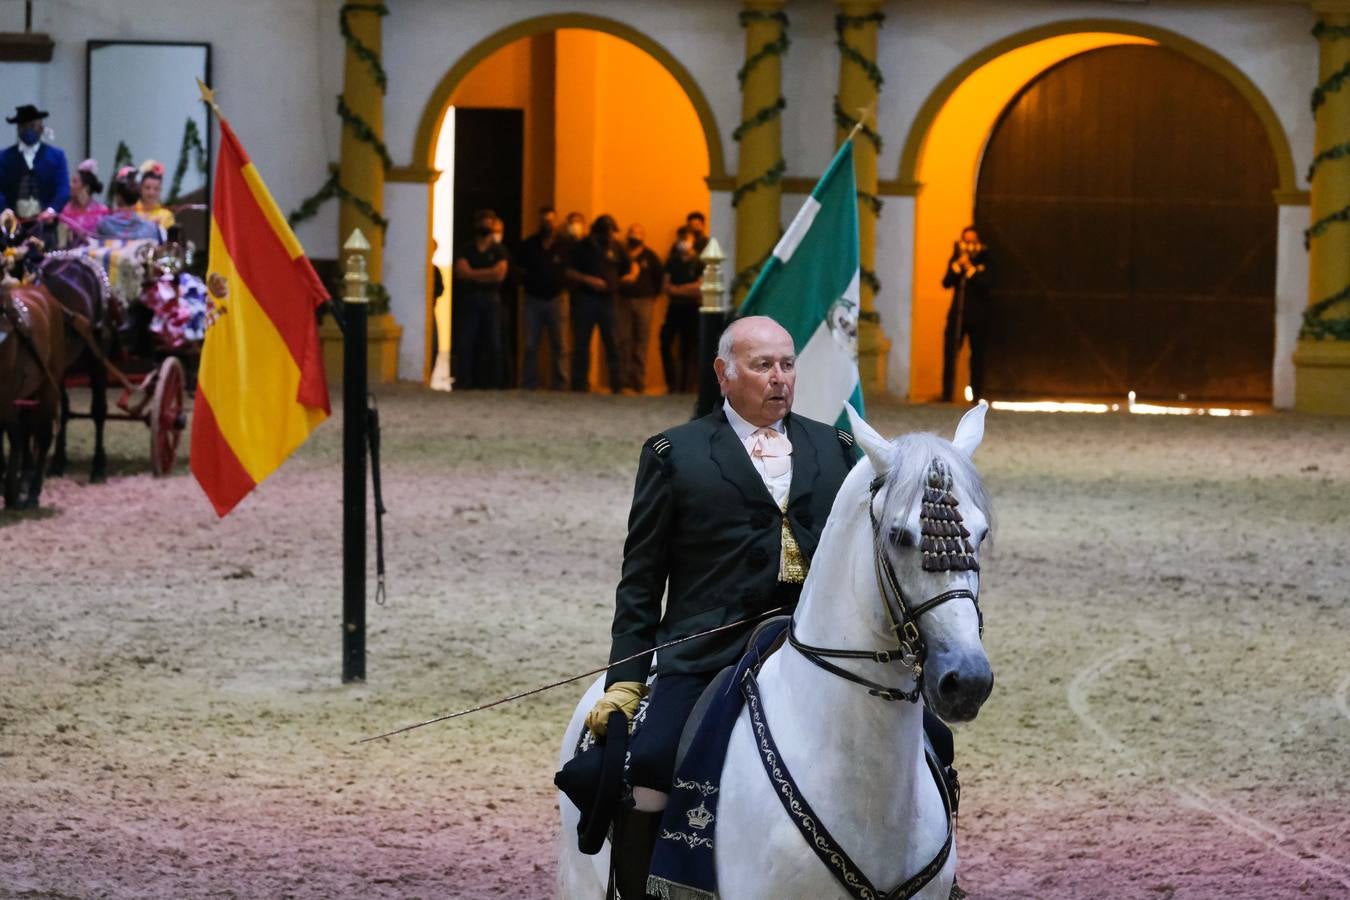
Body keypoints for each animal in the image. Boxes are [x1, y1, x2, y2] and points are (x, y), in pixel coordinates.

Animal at [0, 283, 64, 507]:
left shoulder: (7, 395)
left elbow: (15, 436)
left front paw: (12, 491)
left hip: (48, 388)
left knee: (42, 437)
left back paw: (32, 494)